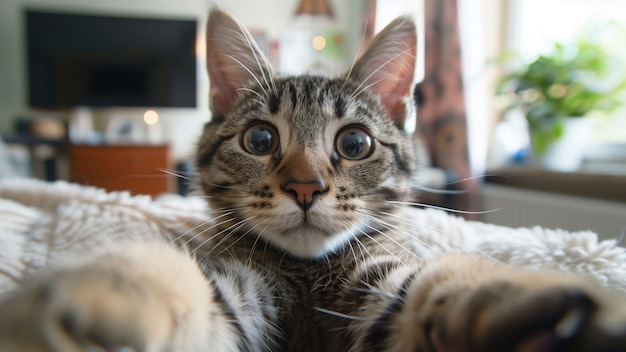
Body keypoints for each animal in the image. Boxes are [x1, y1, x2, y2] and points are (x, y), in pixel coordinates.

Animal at [1, 6, 624, 350]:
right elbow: (194, 286)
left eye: (354, 144)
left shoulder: (379, 280)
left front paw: (527, 302)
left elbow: (429, 285)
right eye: (259, 140)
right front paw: (107, 295)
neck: (305, 276)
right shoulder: (241, 283)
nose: (306, 188)